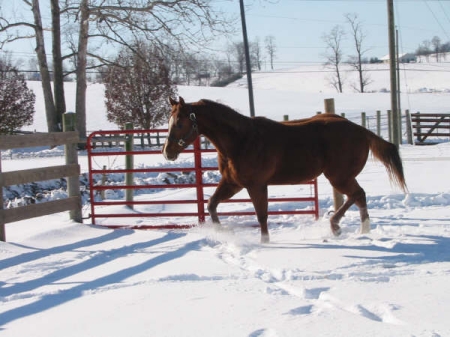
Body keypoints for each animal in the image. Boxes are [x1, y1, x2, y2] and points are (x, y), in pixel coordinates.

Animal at [163, 96, 408, 242]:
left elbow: (262, 215)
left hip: (339, 176)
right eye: (169, 122)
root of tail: (360, 130)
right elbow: (212, 204)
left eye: (180, 123)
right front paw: (222, 231)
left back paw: (353, 228)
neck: (240, 140)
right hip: (340, 177)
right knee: (356, 196)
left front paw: (265, 242)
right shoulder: (232, 183)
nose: (167, 152)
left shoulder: (256, 185)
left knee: (358, 195)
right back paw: (343, 227)